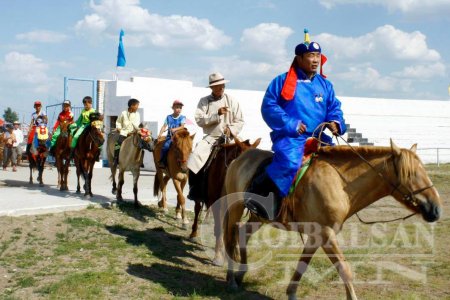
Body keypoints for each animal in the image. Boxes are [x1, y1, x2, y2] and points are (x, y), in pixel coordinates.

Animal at [223, 141, 442, 300]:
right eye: (411, 174)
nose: (436, 209)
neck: (339, 183)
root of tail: (238, 159)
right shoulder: (326, 234)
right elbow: (345, 269)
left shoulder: (316, 236)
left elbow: (303, 264)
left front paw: (291, 293)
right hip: (235, 208)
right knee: (230, 238)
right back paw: (231, 280)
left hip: (258, 217)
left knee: (242, 234)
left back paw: (241, 274)